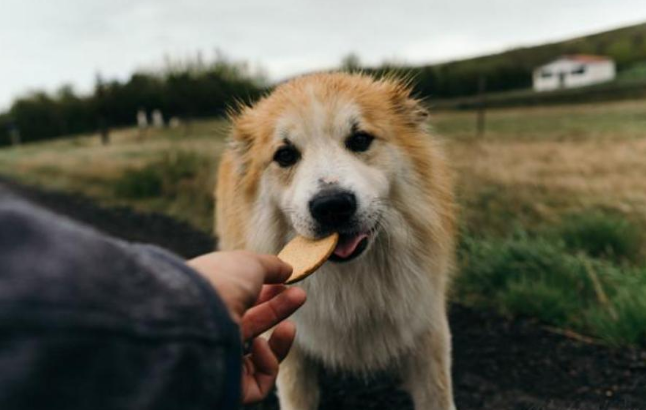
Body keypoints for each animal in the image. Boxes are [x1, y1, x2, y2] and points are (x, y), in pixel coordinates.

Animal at [215, 73, 458, 410]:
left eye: (359, 140)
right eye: (285, 155)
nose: (332, 206)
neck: (352, 280)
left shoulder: (428, 332)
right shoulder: (291, 348)